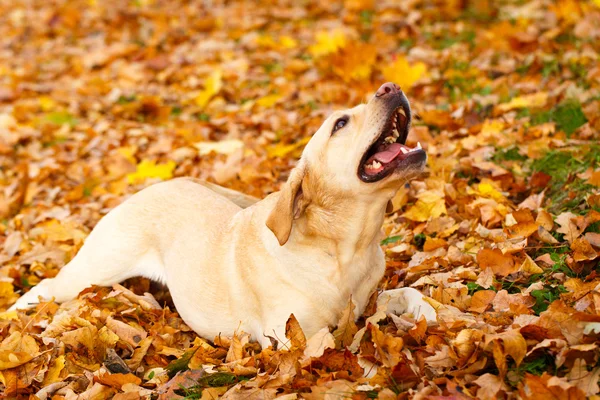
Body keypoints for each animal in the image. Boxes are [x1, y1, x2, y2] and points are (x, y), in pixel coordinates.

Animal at [10, 81, 436, 346]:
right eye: (341, 124)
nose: (390, 87)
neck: (345, 247)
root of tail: (154, 185)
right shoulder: (290, 335)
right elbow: (339, 340)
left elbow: (402, 293)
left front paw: (428, 312)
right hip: (94, 270)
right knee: (48, 284)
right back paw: (17, 310)